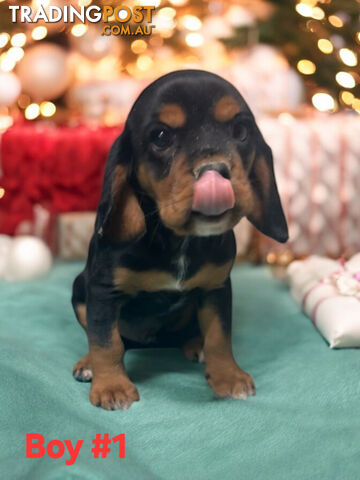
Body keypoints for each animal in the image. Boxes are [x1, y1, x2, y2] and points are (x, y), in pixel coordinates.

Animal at [71, 69, 288, 410]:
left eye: (240, 131)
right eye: (161, 137)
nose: (215, 172)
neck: (181, 241)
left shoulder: (216, 288)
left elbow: (219, 336)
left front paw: (228, 377)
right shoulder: (102, 292)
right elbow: (106, 341)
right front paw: (112, 386)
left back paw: (194, 345)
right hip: (79, 288)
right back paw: (88, 364)